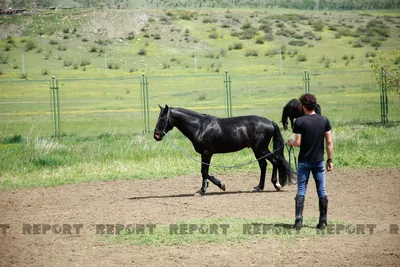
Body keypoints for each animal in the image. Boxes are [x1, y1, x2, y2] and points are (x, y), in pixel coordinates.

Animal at [155, 105, 292, 197]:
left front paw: (220, 185)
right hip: (257, 150)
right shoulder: (204, 154)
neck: (200, 127)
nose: (156, 135)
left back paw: (276, 185)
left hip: (261, 149)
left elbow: (204, 171)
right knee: (263, 165)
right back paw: (258, 187)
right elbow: (204, 172)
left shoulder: (207, 153)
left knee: (274, 161)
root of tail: (270, 122)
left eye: (162, 119)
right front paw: (202, 190)